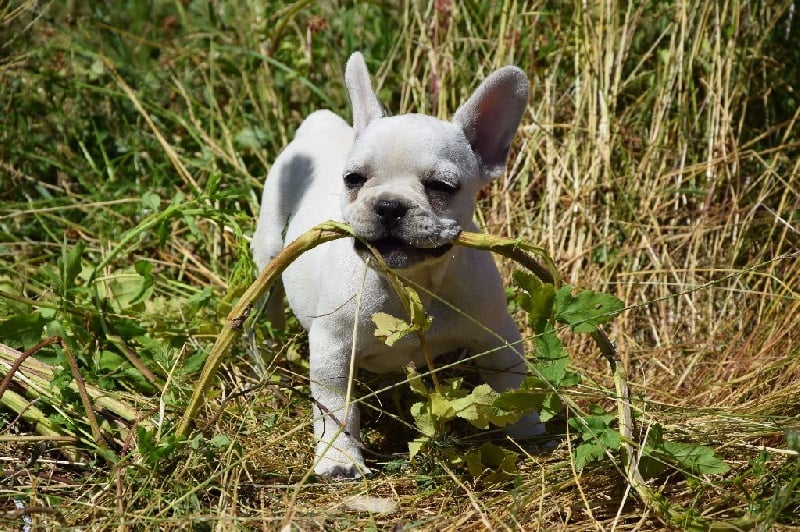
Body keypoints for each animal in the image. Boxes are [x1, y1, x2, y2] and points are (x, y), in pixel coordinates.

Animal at [251, 52, 544, 478]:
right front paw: (340, 460)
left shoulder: (498, 336)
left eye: (441, 186)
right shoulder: (333, 350)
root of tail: (320, 124)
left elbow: (511, 386)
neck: (412, 283)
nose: (390, 205)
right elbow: (336, 408)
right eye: (352, 179)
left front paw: (529, 432)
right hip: (270, 243)